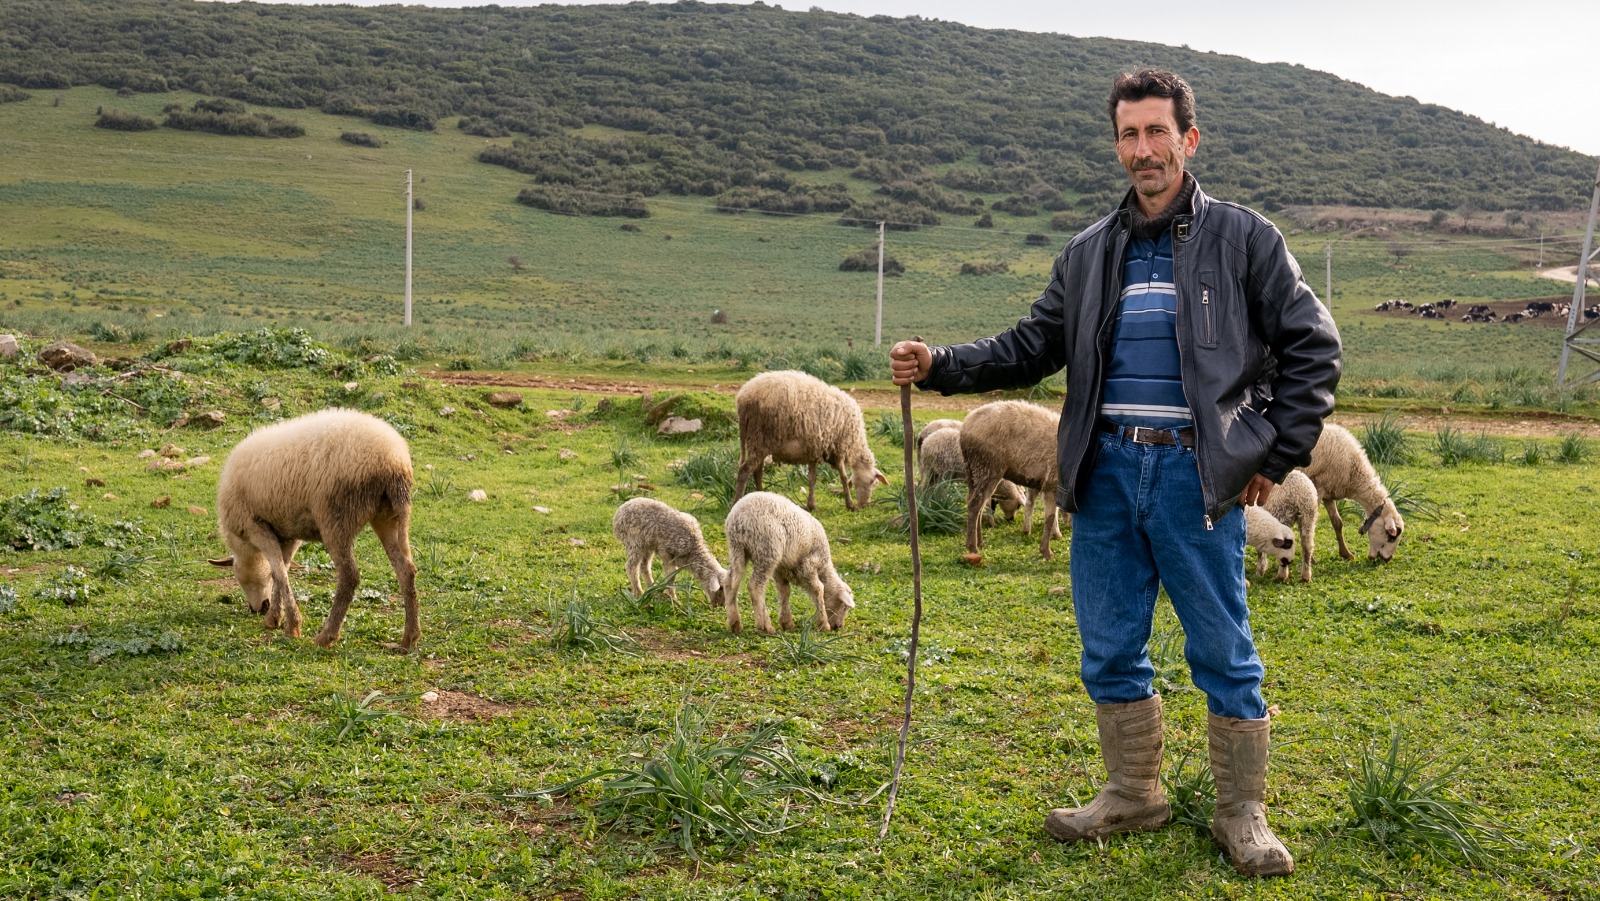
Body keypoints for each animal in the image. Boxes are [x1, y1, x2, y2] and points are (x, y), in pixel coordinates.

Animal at [208, 406, 419, 649]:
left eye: (239, 578)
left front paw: (291, 626)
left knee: (349, 576)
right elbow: (282, 570)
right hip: (389, 516)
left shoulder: (256, 526)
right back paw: (409, 638)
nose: (257, 609)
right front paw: (275, 618)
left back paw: (326, 636)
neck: (247, 548)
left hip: (336, 519)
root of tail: (393, 460)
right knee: (406, 570)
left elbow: (279, 572)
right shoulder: (288, 533)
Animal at [723, 492, 857, 633]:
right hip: (767, 550)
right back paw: (765, 626)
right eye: (844, 607)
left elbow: (785, 591)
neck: (824, 567)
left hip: (737, 549)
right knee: (755, 586)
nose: (838, 626)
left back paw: (735, 624)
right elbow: (818, 589)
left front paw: (787, 622)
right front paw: (823, 624)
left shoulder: (781, 569)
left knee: (730, 582)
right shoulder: (808, 565)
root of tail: (738, 517)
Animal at [732, 369, 889, 512]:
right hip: (761, 437)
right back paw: (737, 501)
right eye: (873, 483)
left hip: (758, 441)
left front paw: (811, 505)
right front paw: (850, 505)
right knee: (745, 471)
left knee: (757, 471)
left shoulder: (815, 449)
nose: (864, 505)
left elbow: (812, 478)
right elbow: (843, 477)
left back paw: (760, 494)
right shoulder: (838, 448)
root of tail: (743, 397)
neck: (855, 444)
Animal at [960, 400, 1062, 560]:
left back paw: (980, 542)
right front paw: (1047, 551)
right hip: (987, 468)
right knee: (975, 504)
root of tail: (965, 427)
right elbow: (1050, 517)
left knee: (978, 503)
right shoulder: (1052, 483)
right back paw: (973, 547)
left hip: (973, 471)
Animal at [1305, 425, 1408, 563]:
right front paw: (1311, 559)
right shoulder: (1318, 487)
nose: (1387, 559)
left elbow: (1337, 523)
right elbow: (1310, 523)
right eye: (1392, 537)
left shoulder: (1328, 492)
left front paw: (1346, 554)